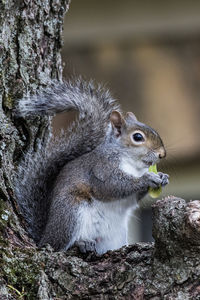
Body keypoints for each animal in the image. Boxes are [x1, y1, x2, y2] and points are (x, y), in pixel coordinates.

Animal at [14, 78, 170, 254]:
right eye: (137, 137)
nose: (162, 154)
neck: (132, 164)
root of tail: (45, 237)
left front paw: (163, 177)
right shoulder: (101, 168)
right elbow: (113, 186)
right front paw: (147, 178)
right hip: (70, 213)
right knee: (60, 246)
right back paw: (80, 243)